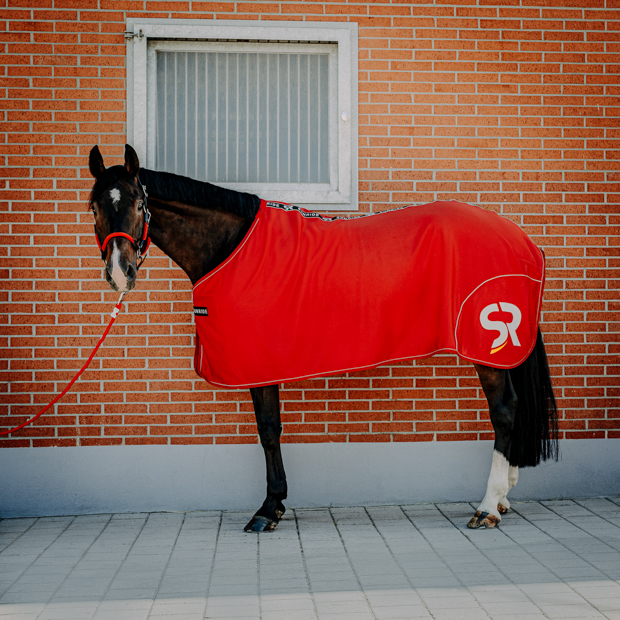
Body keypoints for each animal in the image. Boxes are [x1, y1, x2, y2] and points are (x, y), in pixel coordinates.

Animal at [86, 145, 556, 532]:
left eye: (139, 203)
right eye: (93, 206)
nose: (119, 272)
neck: (230, 245)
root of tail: (523, 241)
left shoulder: (258, 363)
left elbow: (268, 430)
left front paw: (268, 509)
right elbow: (271, 430)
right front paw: (274, 505)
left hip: (485, 345)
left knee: (504, 411)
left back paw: (488, 507)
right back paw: (505, 496)